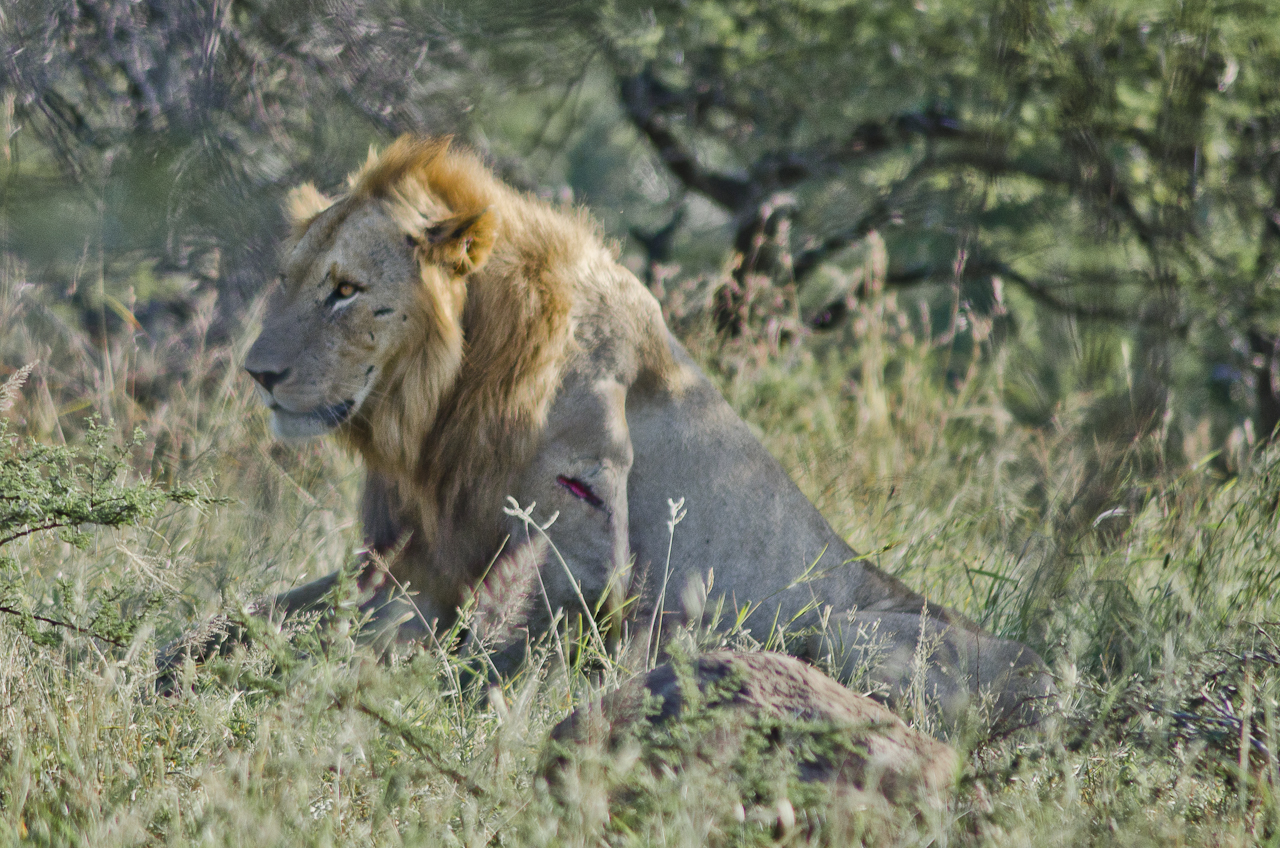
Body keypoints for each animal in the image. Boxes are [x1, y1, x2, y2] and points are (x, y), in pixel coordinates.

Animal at [186, 137, 1049, 732]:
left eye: (345, 290)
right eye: (288, 280)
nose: (257, 373)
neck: (444, 399)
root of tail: (1051, 681)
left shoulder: (587, 569)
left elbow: (448, 660)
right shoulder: (407, 553)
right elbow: (244, 621)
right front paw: (186, 662)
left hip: (848, 632)